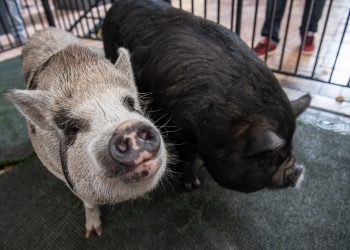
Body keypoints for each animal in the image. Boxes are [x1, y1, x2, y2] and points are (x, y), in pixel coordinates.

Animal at [102, 0, 310, 192]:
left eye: (290, 148)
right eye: (274, 157)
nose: (299, 170)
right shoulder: (179, 125)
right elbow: (188, 155)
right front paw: (192, 185)